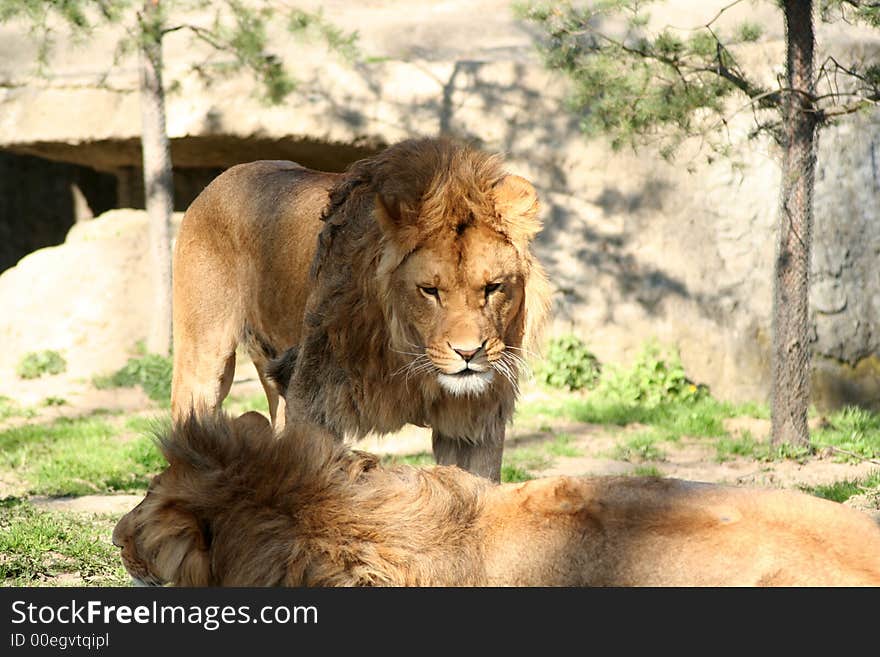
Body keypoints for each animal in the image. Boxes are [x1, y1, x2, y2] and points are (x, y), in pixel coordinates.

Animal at [170, 138, 552, 480]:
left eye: (493, 287)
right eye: (429, 291)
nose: (469, 353)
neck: (408, 355)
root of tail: (222, 177)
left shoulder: (475, 419)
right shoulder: (313, 402)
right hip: (204, 363)